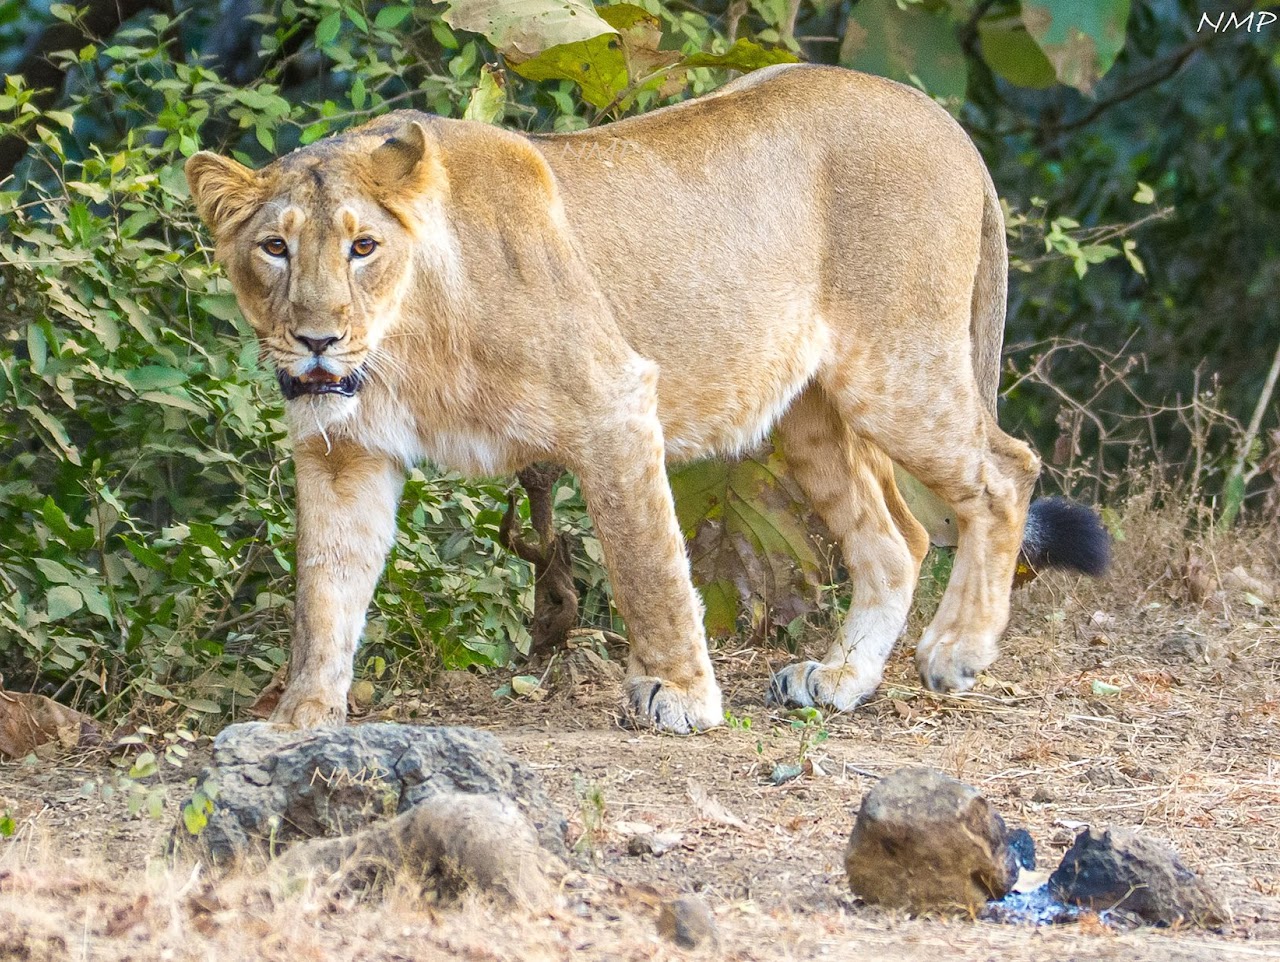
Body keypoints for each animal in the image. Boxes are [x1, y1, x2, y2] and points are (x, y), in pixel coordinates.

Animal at [186, 64, 1108, 734]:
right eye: (274, 248)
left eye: (363, 246)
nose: (316, 340)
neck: (404, 342)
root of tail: (940, 118)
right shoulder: (343, 451)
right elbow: (324, 594)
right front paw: (297, 721)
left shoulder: (614, 400)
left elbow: (647, 564)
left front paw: (681, 696)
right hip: (810, 414)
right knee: (898, 537)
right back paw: (840, 677)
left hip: (897, 369)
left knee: (1005, 472)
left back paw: (957, 650)